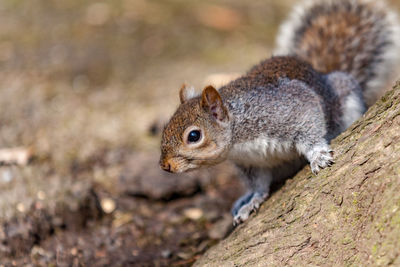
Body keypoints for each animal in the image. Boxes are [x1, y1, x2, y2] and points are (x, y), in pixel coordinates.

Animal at [158, 0, 398, 226]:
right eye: (166, 128)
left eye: (194, 136)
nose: (165, 166)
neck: (238, 133)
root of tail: (321, 73)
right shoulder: (252, 163)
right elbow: (259, 184)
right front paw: (252, 200)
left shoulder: (289, 108)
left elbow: (309, 127)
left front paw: (317, 155)